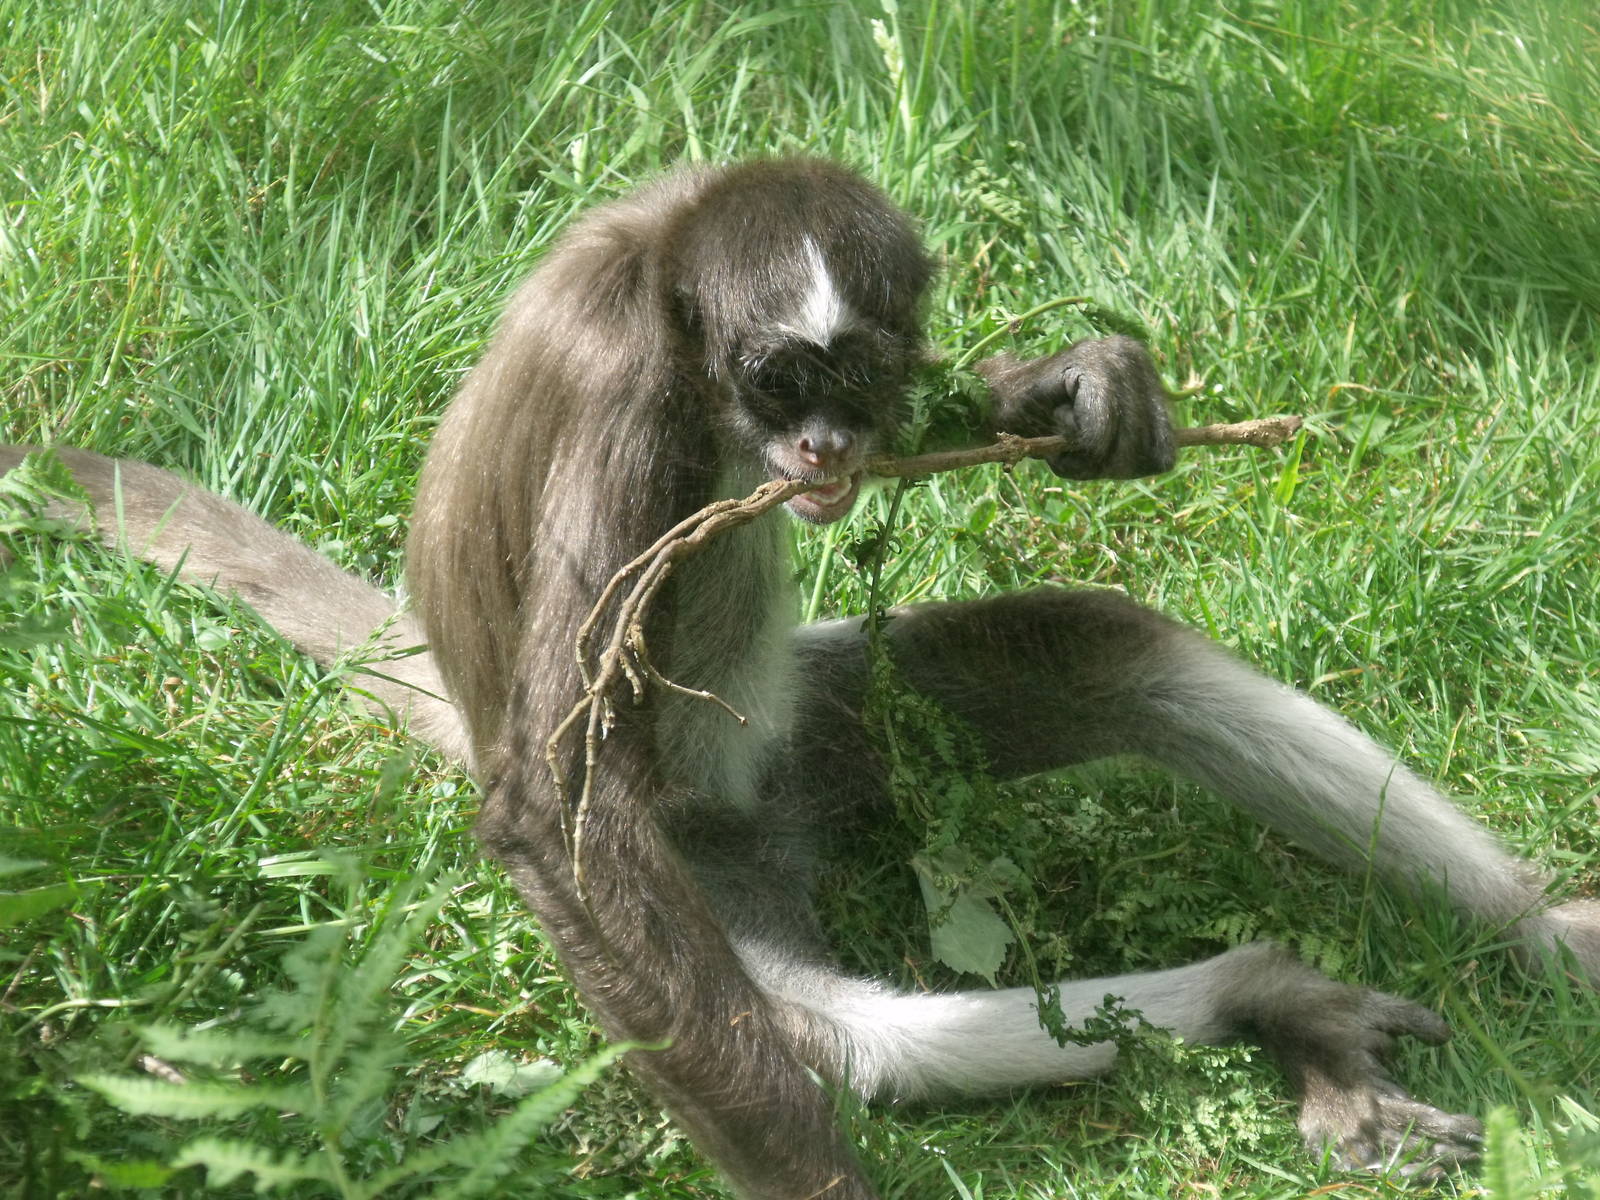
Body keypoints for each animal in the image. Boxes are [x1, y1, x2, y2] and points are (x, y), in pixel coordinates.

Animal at [6, 157, 1598, 1199]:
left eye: (862, 382)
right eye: (779, 382)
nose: (826, 448)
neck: (661, 272)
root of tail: (763, 842)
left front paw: (1073, 395)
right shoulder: (621, 392)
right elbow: (549, 812)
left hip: (816, 743)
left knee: (1100, 646)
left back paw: (1496, 949)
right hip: (681, 882)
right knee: (846, 1044)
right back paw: (1269, 997)